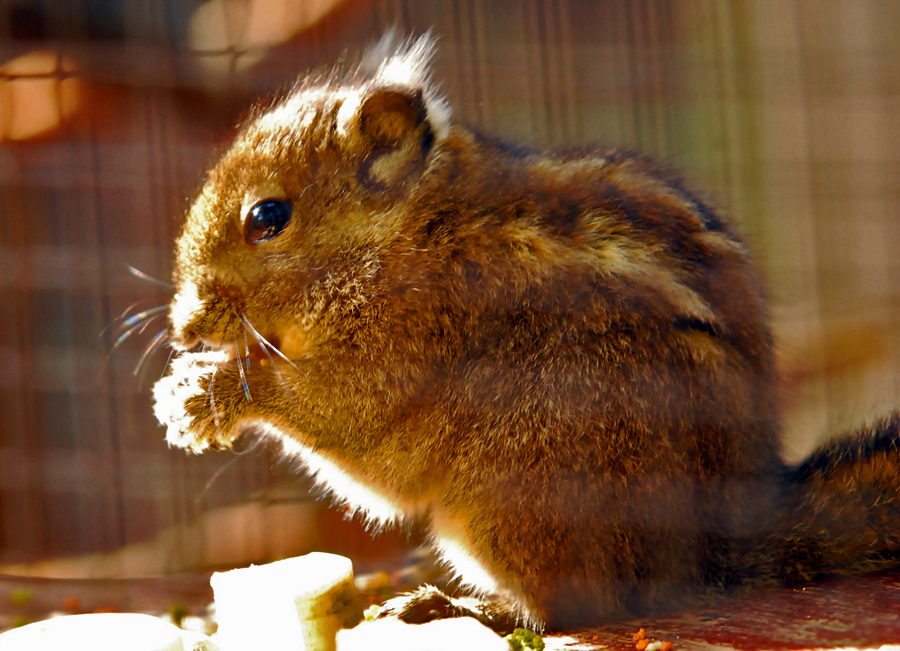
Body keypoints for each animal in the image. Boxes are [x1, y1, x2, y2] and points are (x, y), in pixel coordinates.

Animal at [152, 34, 900, 630]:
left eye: (268, 216)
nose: (184, 325)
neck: (411, 231)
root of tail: (731, 540)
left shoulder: (413, 340)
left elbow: (351, 424)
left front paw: (206, 393)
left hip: (528, 480)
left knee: (574, 608)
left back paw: (458, 606)